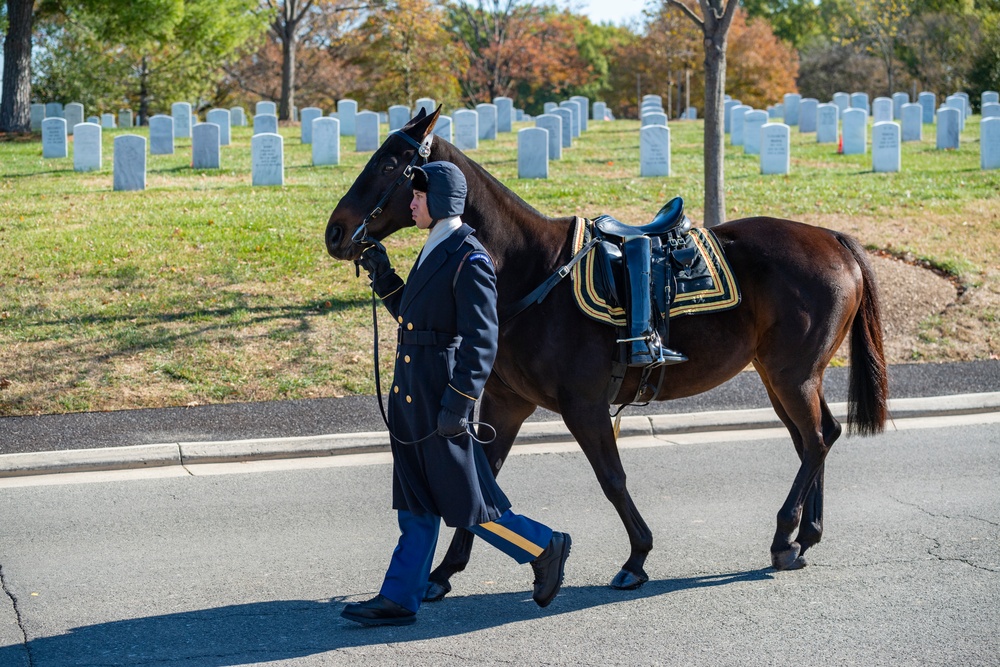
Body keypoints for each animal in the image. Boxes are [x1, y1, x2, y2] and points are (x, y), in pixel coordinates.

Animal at [324, 107, 888, 596]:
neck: (529, 268)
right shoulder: (507, 405)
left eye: (390, 164)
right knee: (817, 438)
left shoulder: (585, 406)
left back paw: (784, 535)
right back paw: (805, 535)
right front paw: (444, 571)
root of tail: (833, 238)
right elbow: (483, 479)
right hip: (782, 376)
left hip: (792, 375)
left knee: (815, 441)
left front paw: (637, 556)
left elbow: (612, 479)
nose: (335, 230)